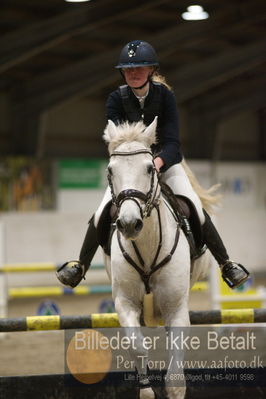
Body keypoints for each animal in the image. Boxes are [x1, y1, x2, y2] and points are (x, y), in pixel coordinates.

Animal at [102, 119, 214, 399]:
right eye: (110, 170)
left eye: (150, 168)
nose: (129, 224)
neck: (147, 244)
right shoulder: (125, 302)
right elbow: (138, 347)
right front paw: (145, 389)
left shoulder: (176, 309)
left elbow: (175, 378)